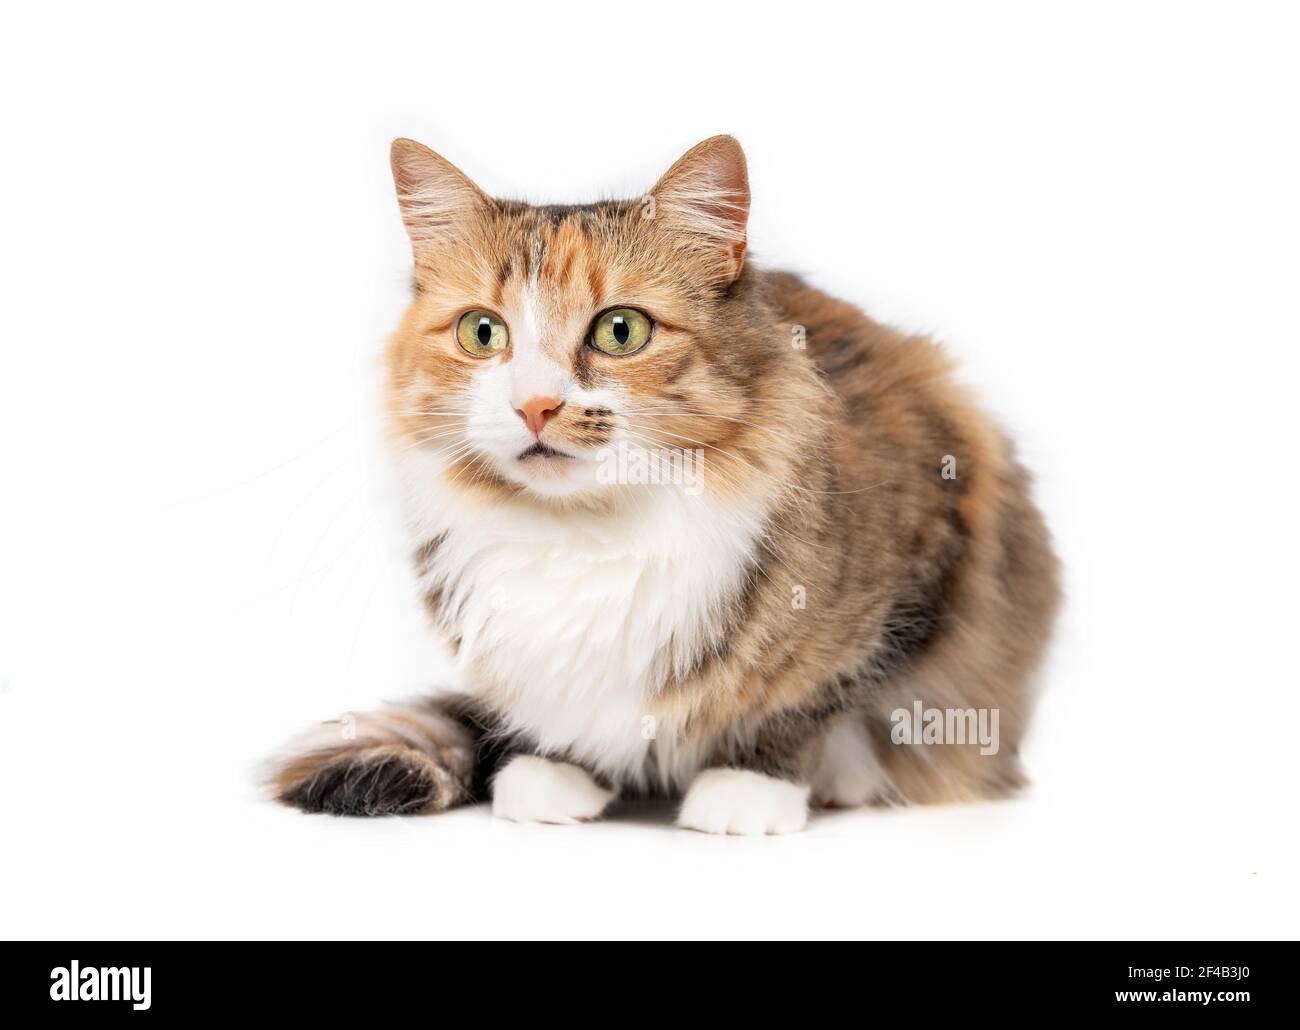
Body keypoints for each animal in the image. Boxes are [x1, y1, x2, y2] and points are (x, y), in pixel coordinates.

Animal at [269, 132, 1060, 832]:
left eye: (620, 331)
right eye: (482, 333)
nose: (535, 405)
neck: (584, 534)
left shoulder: (924, 545)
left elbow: (814, 695)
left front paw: (751, 787)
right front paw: (552, 770)